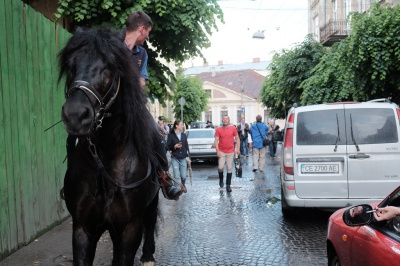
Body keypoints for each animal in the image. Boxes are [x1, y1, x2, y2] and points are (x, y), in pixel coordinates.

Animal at [58, 28, 161, 264]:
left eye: (109, 66)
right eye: (72, 65)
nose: (75, 115)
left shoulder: (129, 228)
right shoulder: (83, 229)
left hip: (151, 203)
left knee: (151, 221)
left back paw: (148, 256)